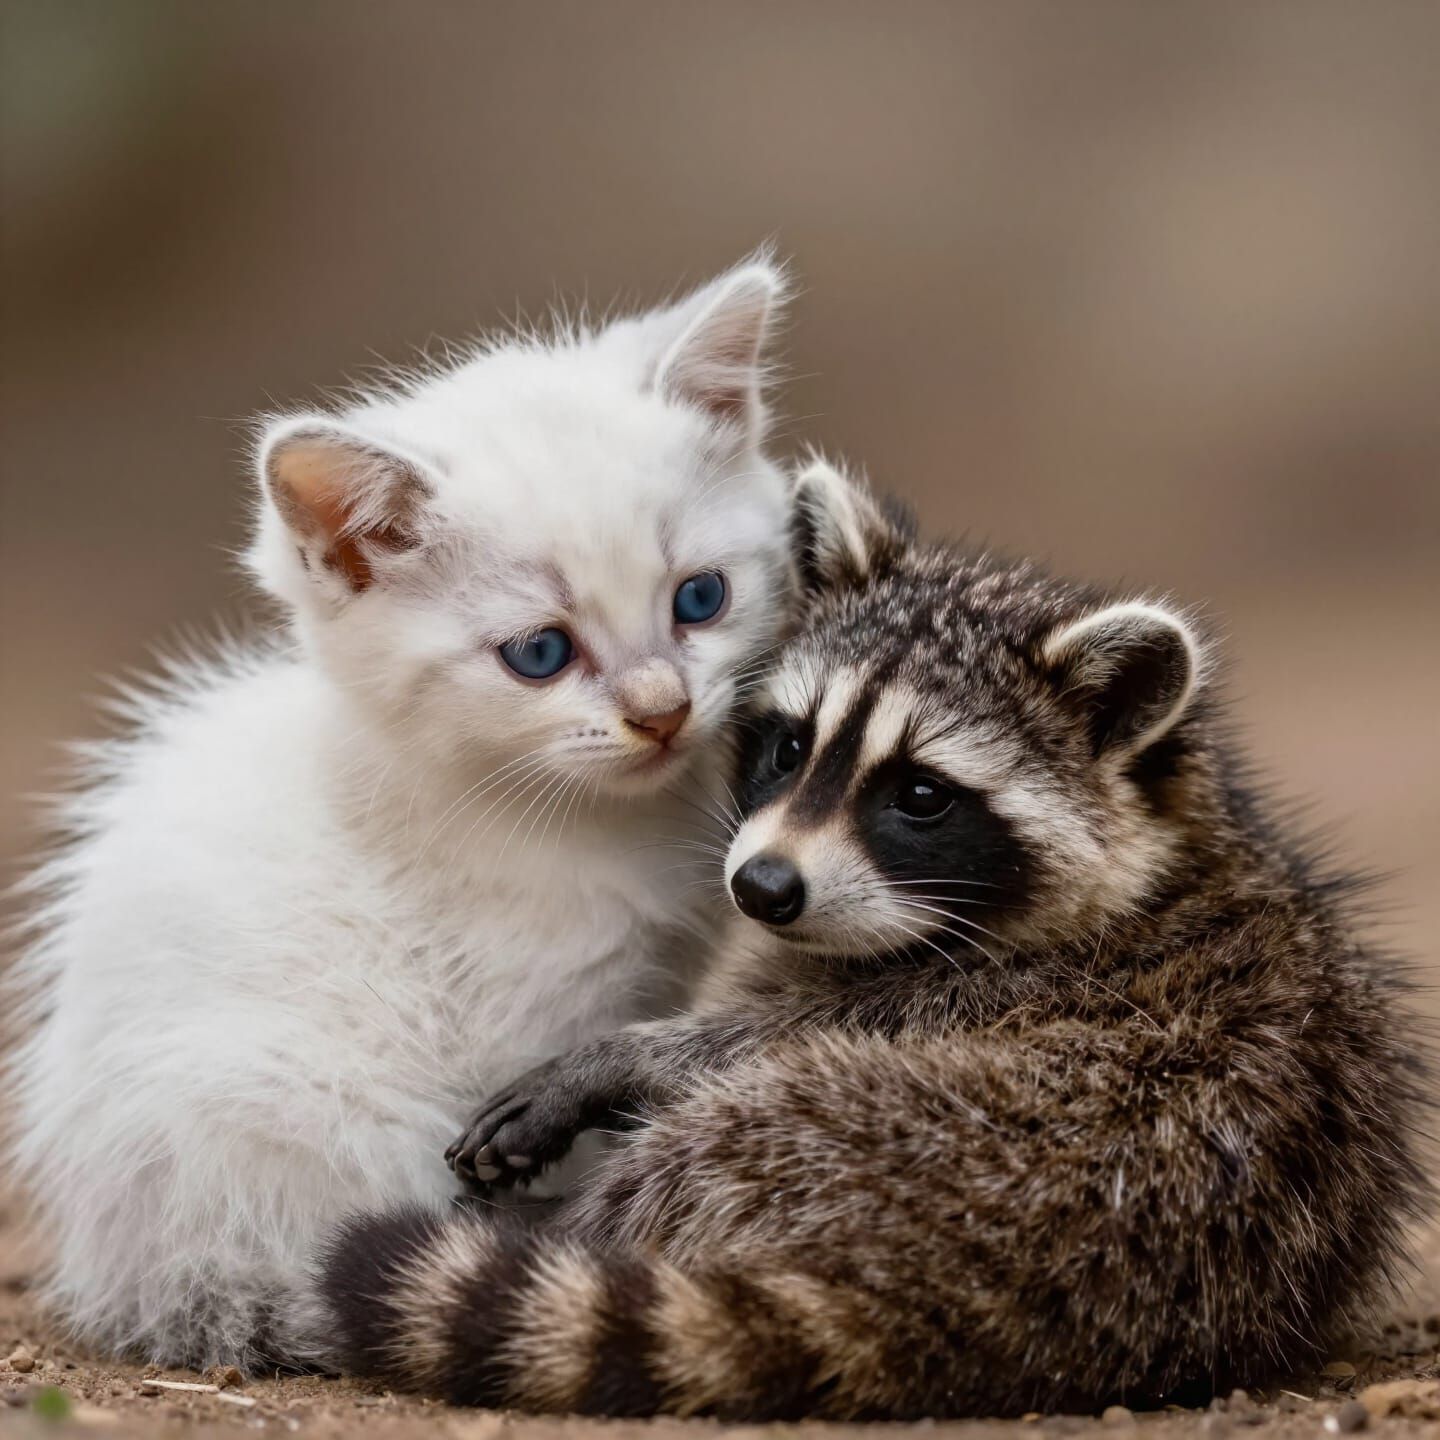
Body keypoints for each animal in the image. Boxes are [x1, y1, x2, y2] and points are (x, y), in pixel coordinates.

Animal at [319, 459, 1430, 1420]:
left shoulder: (1017, 985)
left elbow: (772, 1034)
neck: (1172, 848)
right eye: (790, 744)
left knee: (717, 1133)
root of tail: (997, 1288)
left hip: (907, 1129)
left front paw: (619, 1058)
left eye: (922, 796)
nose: (763, 888)